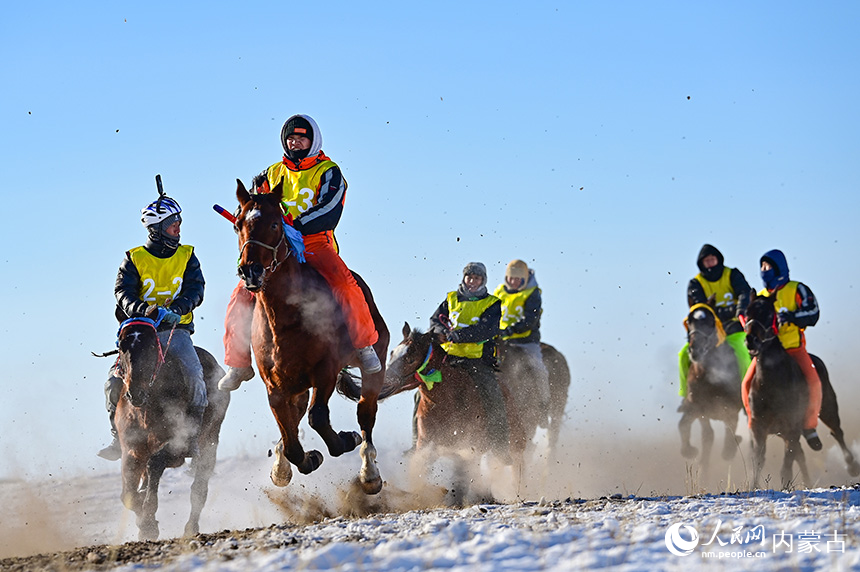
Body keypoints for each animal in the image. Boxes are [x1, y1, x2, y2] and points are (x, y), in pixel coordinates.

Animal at [112, 306, 230, 540]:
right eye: (121, 345)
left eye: (151, 344)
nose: (135, 393)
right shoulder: (131, 450)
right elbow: (127, 495)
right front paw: (143, 520)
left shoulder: (177, 448)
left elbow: (155, 462)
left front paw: (148, 523)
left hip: (210, 440)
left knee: (199, 490)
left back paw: (191, 528)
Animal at [680, 298, 744, 472]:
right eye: (689, 321)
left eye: (710, 321)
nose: (695, 349)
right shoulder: (698, 408)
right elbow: (697, 431)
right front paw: (690, 451)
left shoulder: (731, 408)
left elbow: (728, 442)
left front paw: (734, 443)